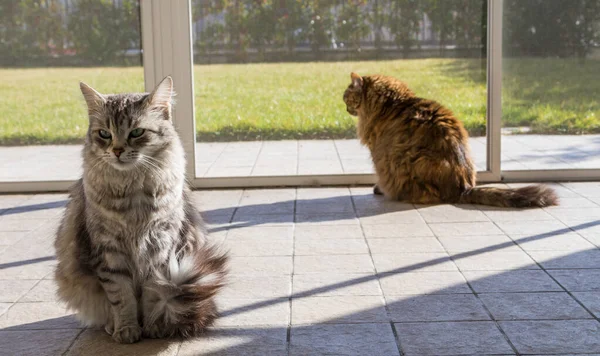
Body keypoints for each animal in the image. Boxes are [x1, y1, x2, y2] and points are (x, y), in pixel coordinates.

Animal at [54, 76, 227, 344]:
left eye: (136, 132)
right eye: (104, 134)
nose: (116, 150)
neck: (132, 197)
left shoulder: (160, 245)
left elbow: (152, 292)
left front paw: (154, 326)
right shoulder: (109, 251)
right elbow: (121, 297)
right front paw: (127, 330)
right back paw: (112, 327)